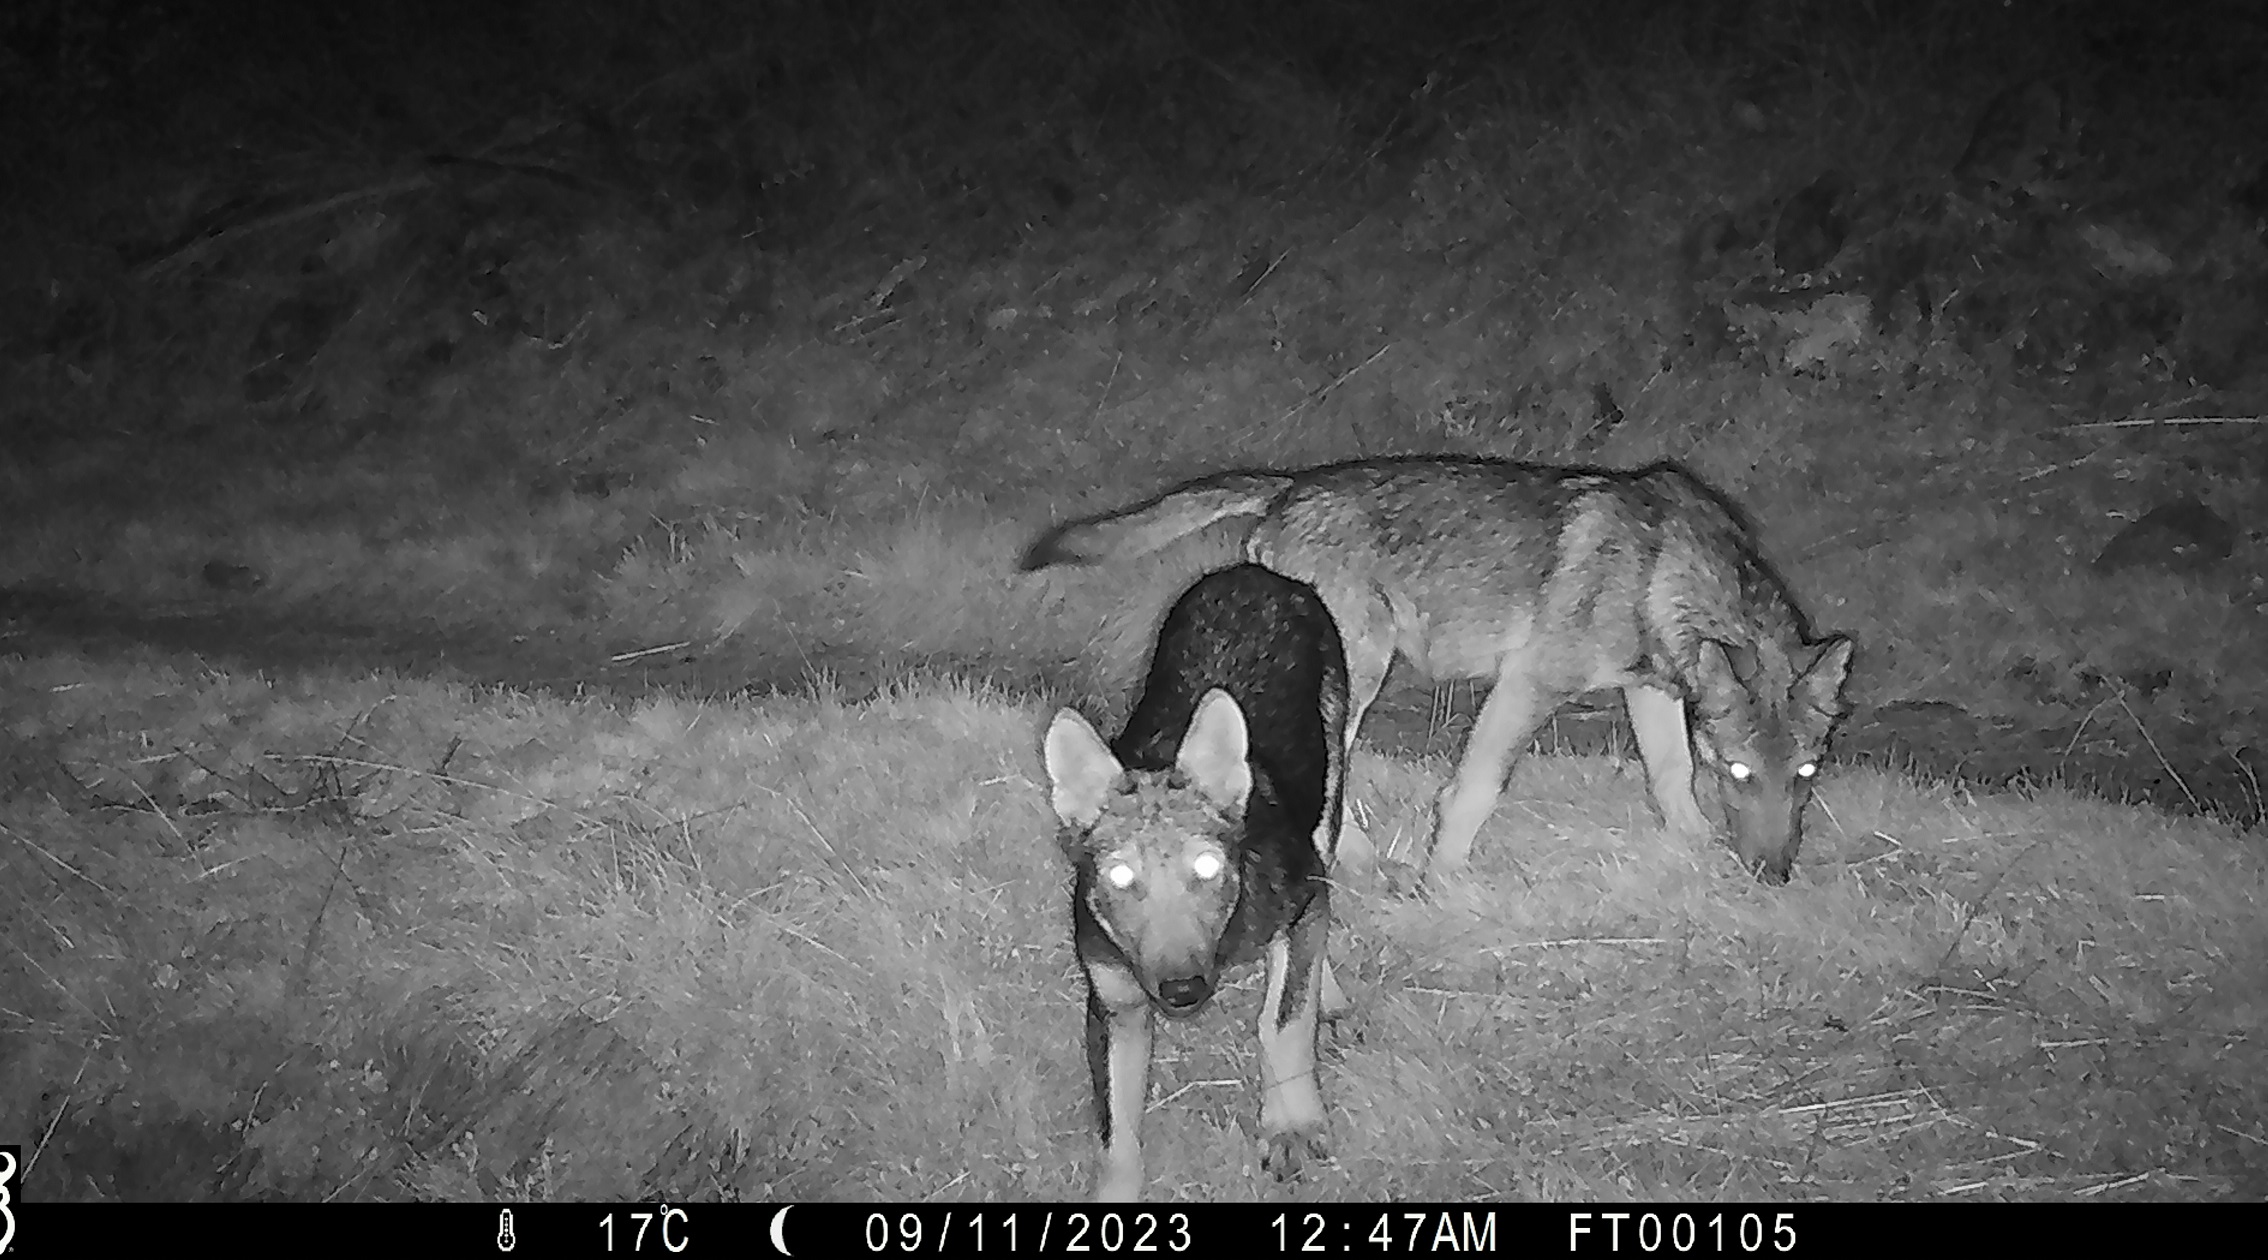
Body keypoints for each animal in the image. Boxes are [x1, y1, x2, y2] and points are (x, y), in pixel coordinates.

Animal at [1024, 456, 1855, 885]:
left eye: (1807, 775)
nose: (1773, 876)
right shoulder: (1531, 682)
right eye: (1740, 773)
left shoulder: (1648, 689)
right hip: (1358, 671)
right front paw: (1444, 881)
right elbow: (1475, 787)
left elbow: (1671, 776)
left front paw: (1694, 848)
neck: (1664, 574)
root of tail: (1287, 487)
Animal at [1042, 562, 1352, 1203]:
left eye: (1207, 868)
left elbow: (1284, 1022)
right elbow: (1116, 1135)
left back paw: (1328, 996)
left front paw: (1291, 1127)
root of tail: (1254, 571)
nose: (1183, 991)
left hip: (1329, 797)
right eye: (1121, 876)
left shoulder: (1302, 897)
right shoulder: (1114, 1003)